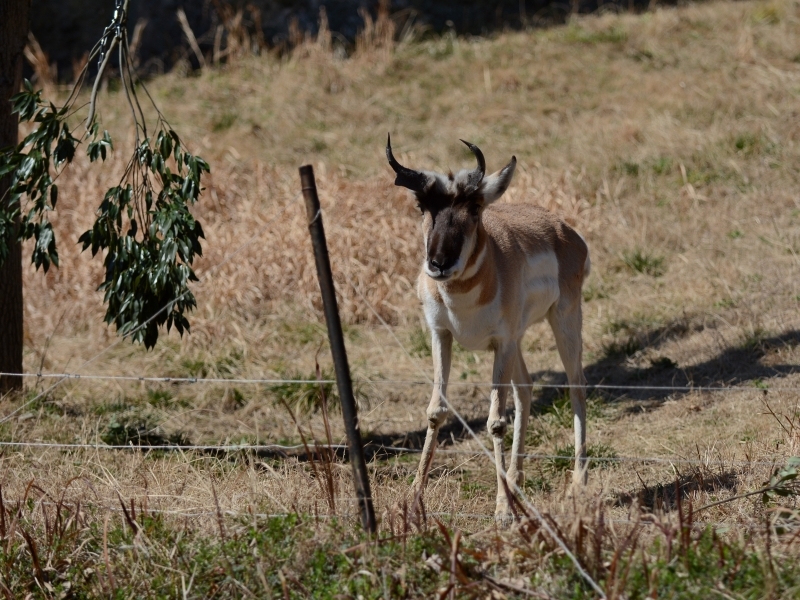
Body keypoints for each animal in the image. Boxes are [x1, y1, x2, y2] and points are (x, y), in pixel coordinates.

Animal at [390, 136, 592, 520]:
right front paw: (411, 499)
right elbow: (436, 411)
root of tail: (564, 230)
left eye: (474, 208)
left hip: (563, 322)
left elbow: (495, 420)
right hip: (517, 344)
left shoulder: (501, 343)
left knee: (577, 387)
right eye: (422, 206)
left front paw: (502, 510)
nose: (438, 263)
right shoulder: (442, 336)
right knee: (526, 389)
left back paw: (577, 484)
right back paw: (515, 480)